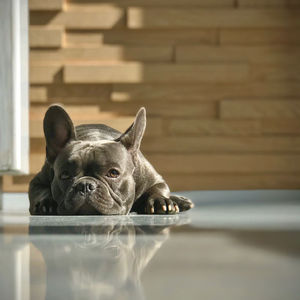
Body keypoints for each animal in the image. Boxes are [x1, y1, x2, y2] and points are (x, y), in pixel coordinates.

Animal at [28, 104, 195, 214]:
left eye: (113, 173)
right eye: (65, 175)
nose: (85, 185)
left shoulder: (154, 179)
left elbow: (158, 189)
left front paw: (160, 201)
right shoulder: (37, 182)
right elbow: (43, 191)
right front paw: (47, 203)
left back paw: (180, 201)